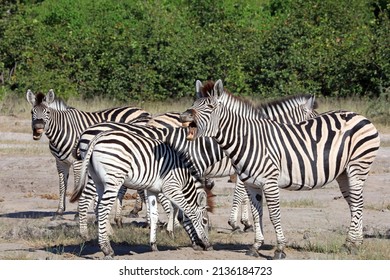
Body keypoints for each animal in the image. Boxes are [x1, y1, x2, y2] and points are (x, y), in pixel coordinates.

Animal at [25, 89, 151, 217]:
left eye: (48, 112)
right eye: (31, 112)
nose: (38, 128)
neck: (63, 130)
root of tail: (143, 111)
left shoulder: (77, 162)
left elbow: (77, 184)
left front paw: (77, 212)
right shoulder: (60, 162)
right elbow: (62, 185)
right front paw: (59, 210)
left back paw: (136, 209)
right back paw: (135, 209)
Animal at [68, 129, 212, 258]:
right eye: (205, 221)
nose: (208, 246)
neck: (183, 177)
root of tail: (97, 138)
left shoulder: (152, 190)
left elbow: (154, 215)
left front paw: (154, 245)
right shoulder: (171, 189)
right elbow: (190, 212)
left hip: (98, 180)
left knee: (98, 207)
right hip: (114, 179)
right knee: (102, 208)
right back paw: (106, 249)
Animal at [181, 78, 380, 258]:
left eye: (210, 107)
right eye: (193, 104)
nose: (184, 116)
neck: (247, 139)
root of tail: (359, 115)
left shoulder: (269, 182)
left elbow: (274, 214)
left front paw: (279, 249)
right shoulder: (251, 183)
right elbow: (257, 213)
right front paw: (255, 246)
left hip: (357, 167)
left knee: (358, 203)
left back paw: (350, 244)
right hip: (344, 173)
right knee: (354, 204)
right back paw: (354, 243)